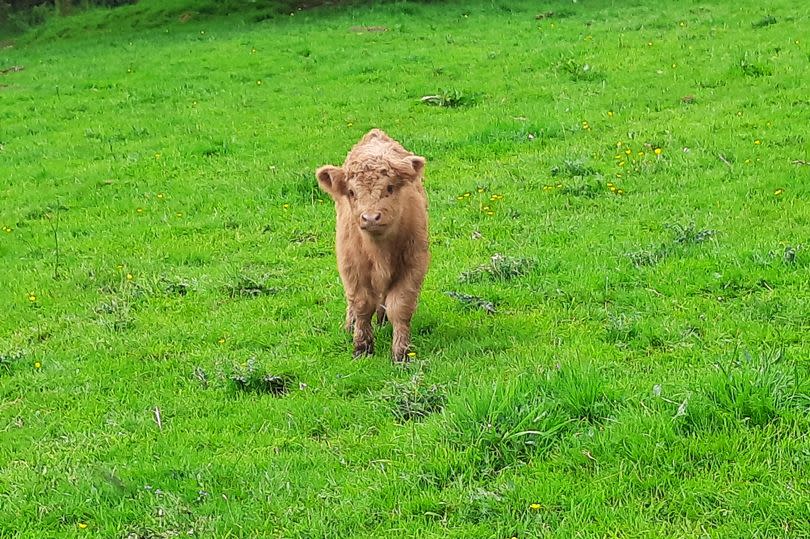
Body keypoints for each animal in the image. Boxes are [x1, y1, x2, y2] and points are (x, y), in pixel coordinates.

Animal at [316, 129, 430, 362]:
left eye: (389, 187)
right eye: (351, 192)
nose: (370, 218)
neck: (379, 251)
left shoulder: (413, 265)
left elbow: (400, 307)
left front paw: (401, 353)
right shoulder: (352, 268)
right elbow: (361, 304)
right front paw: (361, 347)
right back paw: (350, 325)